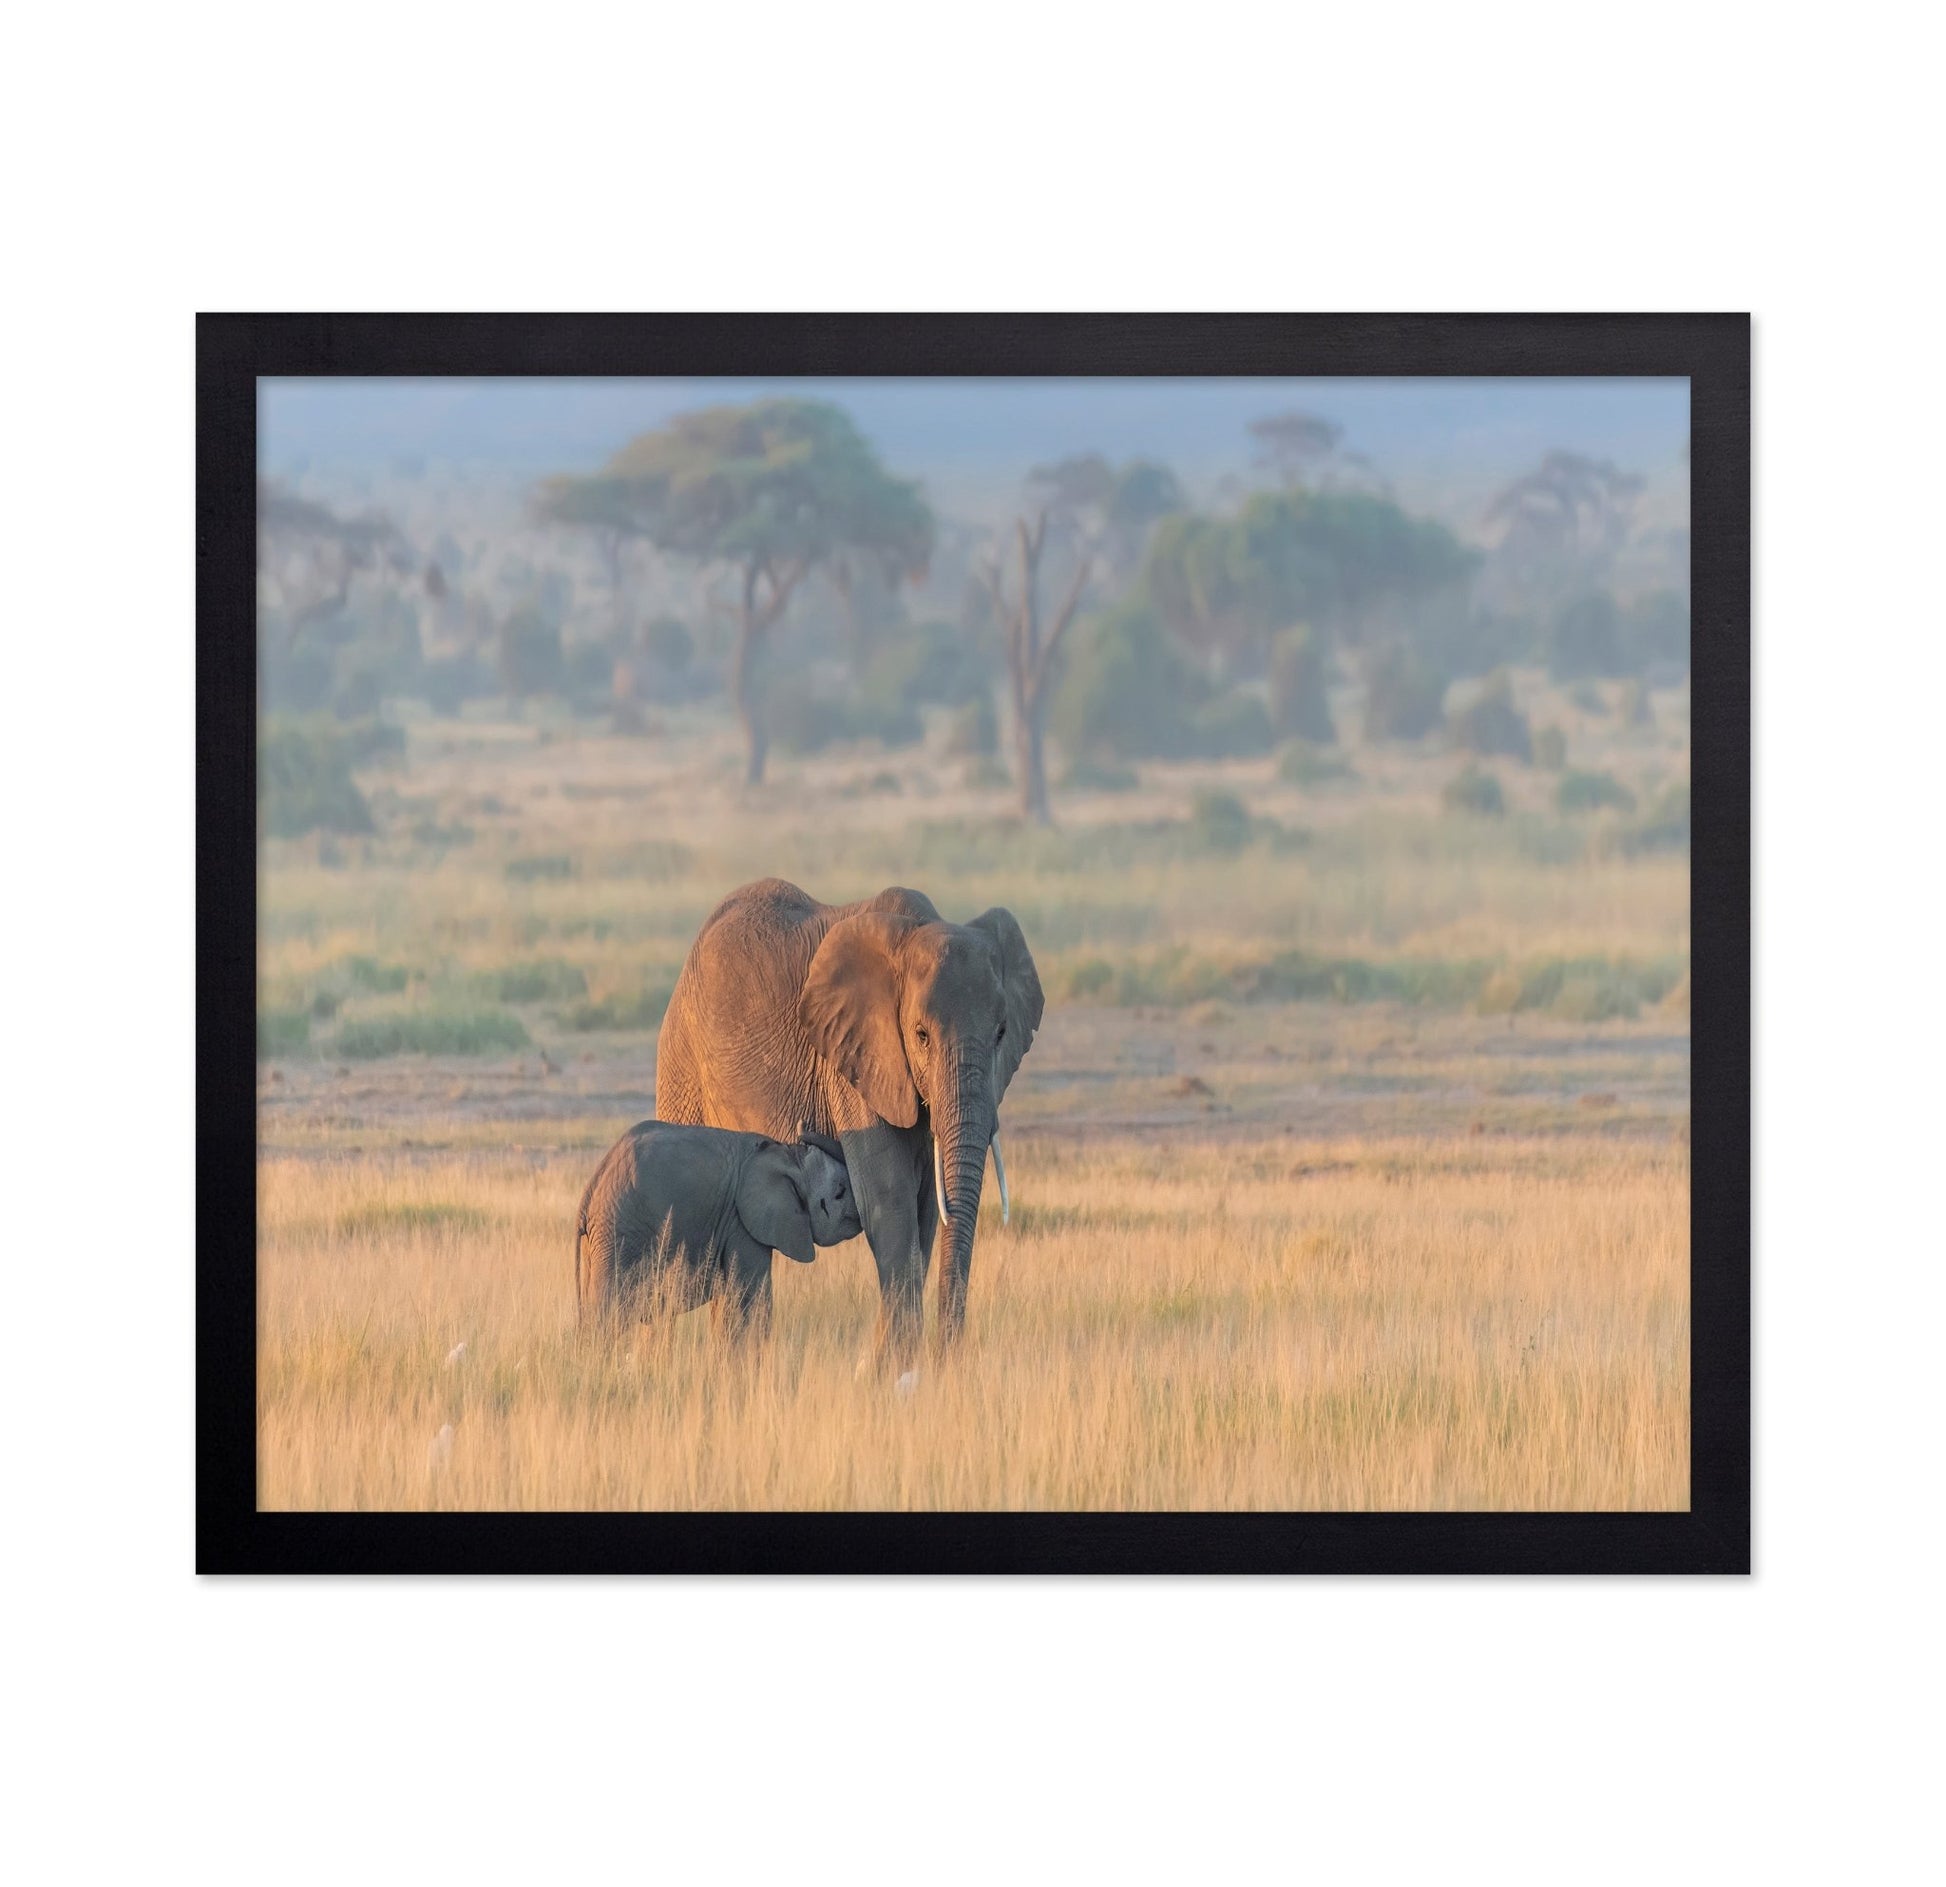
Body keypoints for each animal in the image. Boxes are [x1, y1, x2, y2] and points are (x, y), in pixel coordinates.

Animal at [574, 1120, 860, 1339]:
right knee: (607, 1315)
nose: (804, 1125)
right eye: (840, 1192)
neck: (789, 1157)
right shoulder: (741, 1222)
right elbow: (752, 1298)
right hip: (621, 1232)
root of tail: (590, 1190)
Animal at [655, 879, 1043, 1370]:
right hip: (681, 1061)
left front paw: (887, 1367)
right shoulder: (853, 1058)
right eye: (920, 1036)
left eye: (1001, 1034)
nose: (947, 1358)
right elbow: (889, 1200)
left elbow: (925, 1210)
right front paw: (894, 1368)